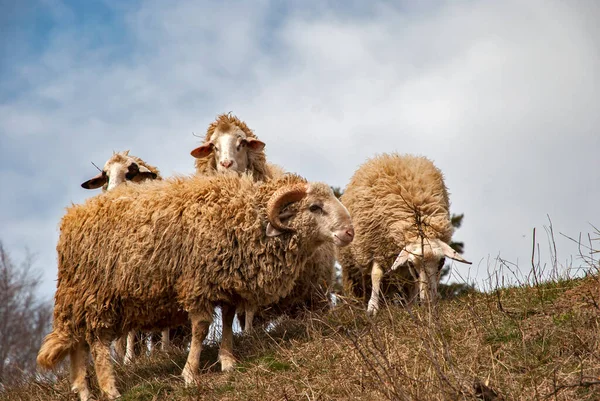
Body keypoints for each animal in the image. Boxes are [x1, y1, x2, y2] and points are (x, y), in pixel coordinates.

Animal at [37, 173, 354, 400]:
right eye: (314, 207)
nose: (349, 232)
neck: (242, 216)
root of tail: (72, 216)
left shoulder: (227, 285)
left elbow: (227, 321)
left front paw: (228, 361)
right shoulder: (197, 284)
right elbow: (200, 328)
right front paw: (190, 374)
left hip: (83, 299)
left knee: (79, 342)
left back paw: (84, 391)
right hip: (96, 295)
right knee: (97, 343)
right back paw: (109, 388)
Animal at [338, 153, 468, 316]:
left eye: (442, 263)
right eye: (413, 264)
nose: (429, 302)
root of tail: (393, 156)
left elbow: (412, 284)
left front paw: (410, 309)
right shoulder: (375, 247)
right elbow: (376, 274)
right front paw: (372, 308)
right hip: (351, 268)